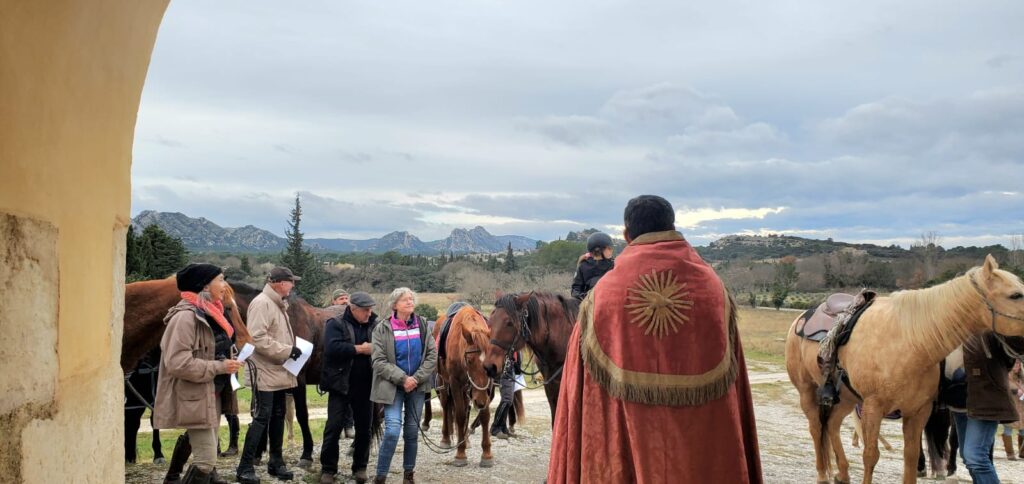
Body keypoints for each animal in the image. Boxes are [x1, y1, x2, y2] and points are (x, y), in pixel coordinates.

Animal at [432, 304, 495, 468]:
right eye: (469, 360)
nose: (479, 401)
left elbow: (484, 416)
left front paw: (486, 454)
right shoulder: (455, 383)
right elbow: (459, 415)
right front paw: (460, 454)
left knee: (466, 408)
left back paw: (465, 438)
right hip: (444, 382)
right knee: (446, 406)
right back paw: (446, 439)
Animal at [782, 254, 1024, 480]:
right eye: (1015, 295)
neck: (910, 341)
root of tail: (802, 317)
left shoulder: (918, 412)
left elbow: (911, 457)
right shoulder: (873, 407)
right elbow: (870, 455)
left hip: (847, 399)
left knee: (832, 425)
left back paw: (843, 474)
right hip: (808, 392)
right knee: (816, 429)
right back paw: (823, 475)